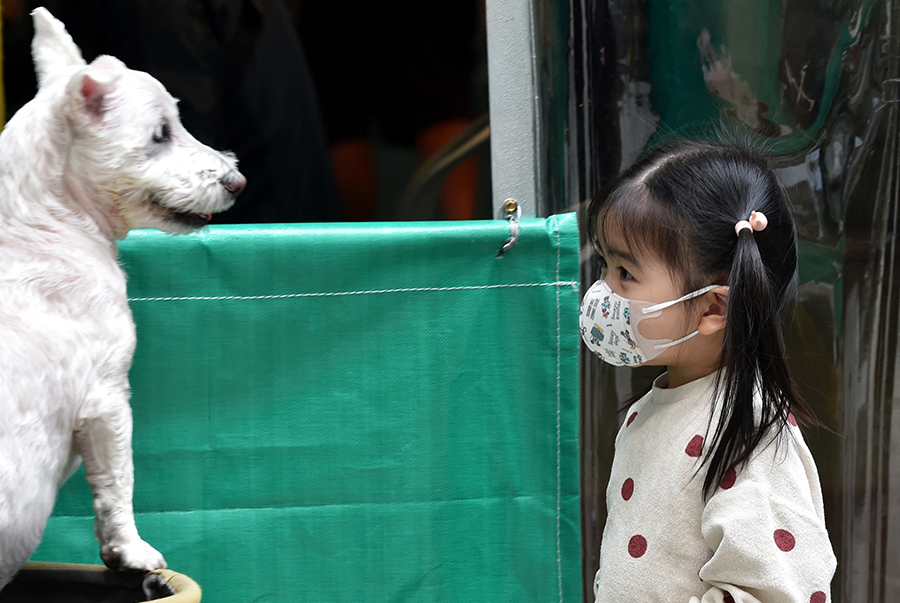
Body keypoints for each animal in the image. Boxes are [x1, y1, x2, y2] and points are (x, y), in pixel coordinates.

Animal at [0, 5, 244, 588]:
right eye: (160, 133)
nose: (238, 181)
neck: (46, 223)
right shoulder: (106, 397)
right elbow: (119, 482)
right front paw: (132, 553)